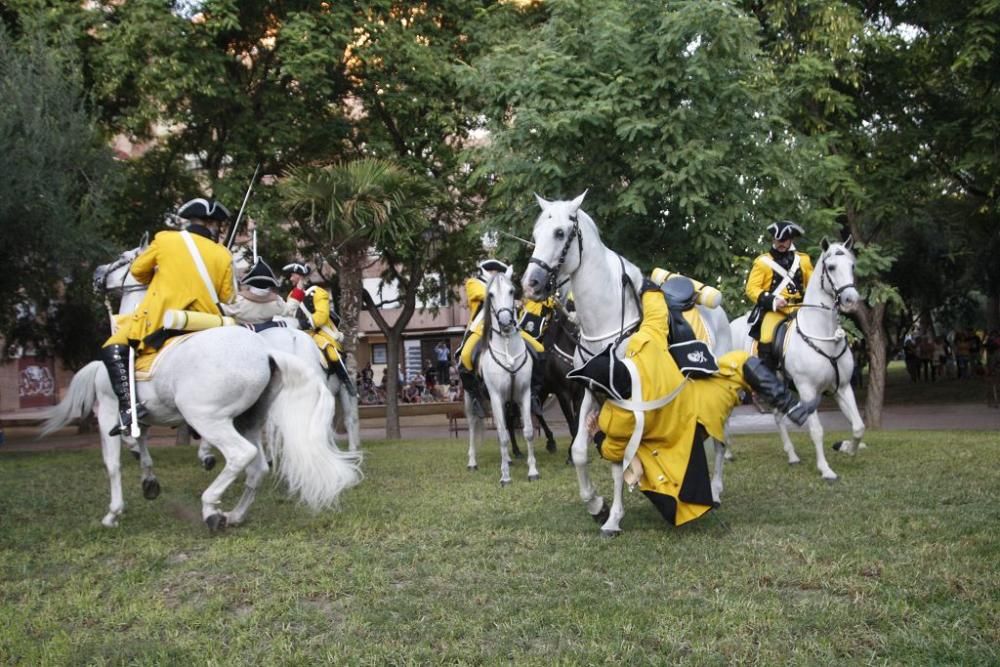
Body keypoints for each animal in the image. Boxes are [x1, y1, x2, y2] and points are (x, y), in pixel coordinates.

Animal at [43, 326, 366, 528]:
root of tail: (268, 352)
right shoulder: (138, 419)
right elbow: (139, 445)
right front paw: (148, 480)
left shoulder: (110, 412)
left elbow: (112, 464)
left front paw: (113, 513)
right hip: (246, 419)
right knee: (258, 465)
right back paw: (235, 514)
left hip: (206, 417)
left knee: (241, 454)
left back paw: (212, 509)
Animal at [466, 270, 540, 486]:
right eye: (490, 294)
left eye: (512, 291)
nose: (506, 323)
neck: (508, 348)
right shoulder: (496, 396)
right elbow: (502, 435)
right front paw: (505, 476)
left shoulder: (524, 394)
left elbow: (528, 432)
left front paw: (532, 471)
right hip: (471, 398)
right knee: (473, 425)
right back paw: (472, 462)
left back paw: (507, 459)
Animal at [524, 190, 736, 536]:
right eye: (536, 233)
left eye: (559, 233)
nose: (531, 283)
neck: (606, 320)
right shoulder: (591, 392)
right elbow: (582, 451)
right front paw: (598, 506)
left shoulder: (627, 401)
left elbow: (620, 457)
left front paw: (612, 517)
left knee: (719, 440)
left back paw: (715, 492)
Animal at [732, 240, 864, 480]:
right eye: (831, 267)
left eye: (852, 265)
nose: (851, 300)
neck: (823, 334)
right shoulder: (807, 390)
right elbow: (816, 431)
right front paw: (825, 469)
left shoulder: (842, 387)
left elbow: (858, 426)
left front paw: (846, 447)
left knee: (777, 416)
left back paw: (792, 455)